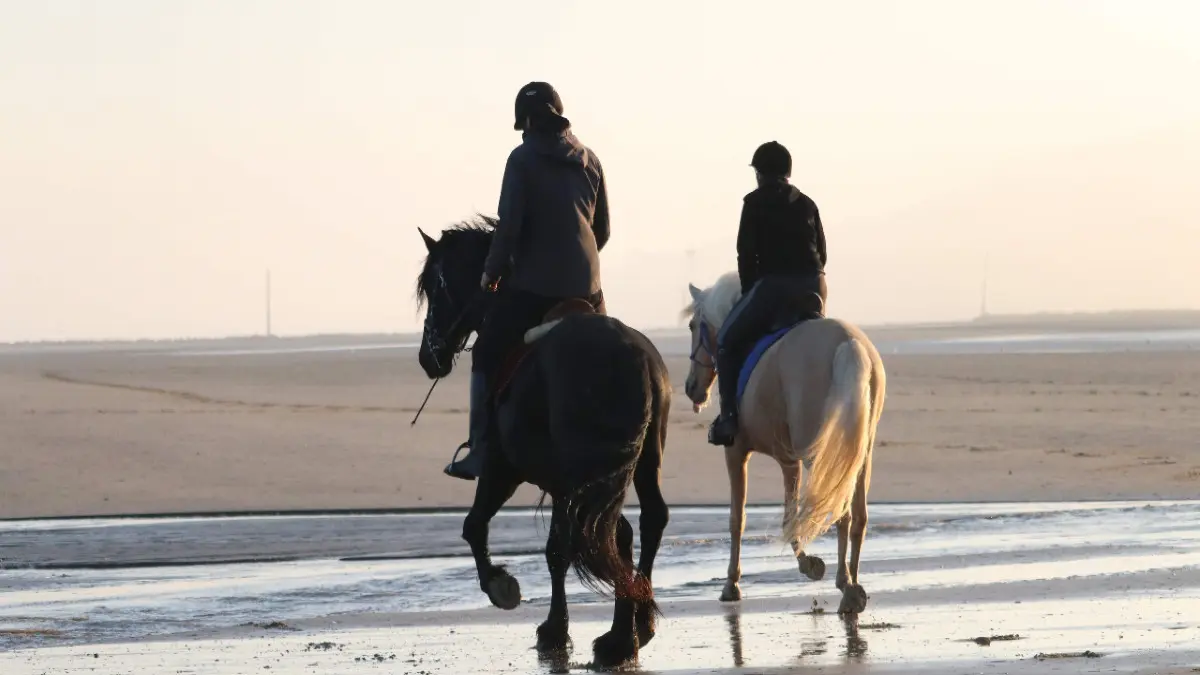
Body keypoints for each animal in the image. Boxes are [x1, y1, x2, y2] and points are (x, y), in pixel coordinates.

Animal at [417, 216, 672, 667]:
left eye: (435, 286)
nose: (427, 357)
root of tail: (632, 357)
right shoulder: (560, 483)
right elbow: (569, 546)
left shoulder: (503, 470)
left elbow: (479, 527)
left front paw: (516, 599)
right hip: (638, 464)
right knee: (644, 523)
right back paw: (632, 629)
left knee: (606, 535)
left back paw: (620, 637)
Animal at [686, 270, 883, 612]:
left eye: (692, 327)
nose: (690, 387)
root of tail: (848, 342)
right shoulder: (789, 460)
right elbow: (790, 516)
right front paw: (809, 563)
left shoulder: (736, 452)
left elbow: (737, 519)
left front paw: (731, 584)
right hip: (859, 454)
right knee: (857, 516)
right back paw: (853, 585)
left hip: (819, 456)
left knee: (839, 511)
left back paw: (845, 586)